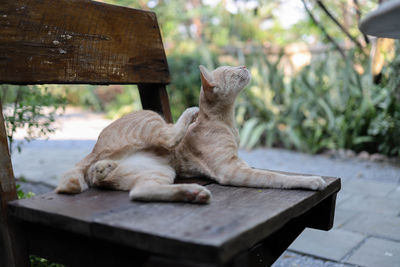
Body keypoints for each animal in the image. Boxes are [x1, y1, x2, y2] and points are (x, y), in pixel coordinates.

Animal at [55, 65, 324, 203]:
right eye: (230, 71)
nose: (245, 65)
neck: (227, 121)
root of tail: (94, 151)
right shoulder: (231, 169)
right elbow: (276, 177)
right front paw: (311, 180)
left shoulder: (238, 162)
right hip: (152, 117)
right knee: (167, 136)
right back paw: (188, 115)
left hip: (159, 171)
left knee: (138, 192)